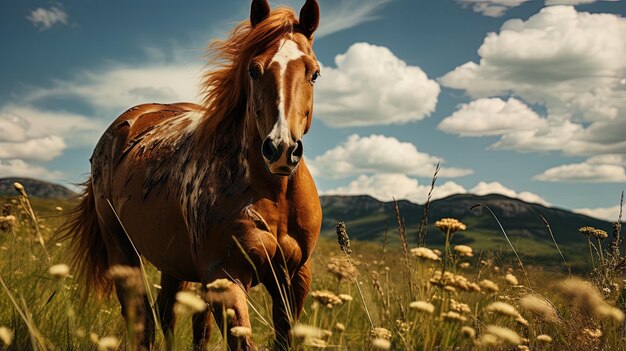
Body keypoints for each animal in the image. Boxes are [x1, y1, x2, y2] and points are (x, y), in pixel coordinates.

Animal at [60, 1, 322, 350]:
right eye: (253, 70)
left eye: (314, 73)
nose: (281, 149)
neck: (273, 195)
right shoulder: (225, 278)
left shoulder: (294, 280)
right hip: (121, 247)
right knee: (142, 319)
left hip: (174, 262)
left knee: (169, 315)